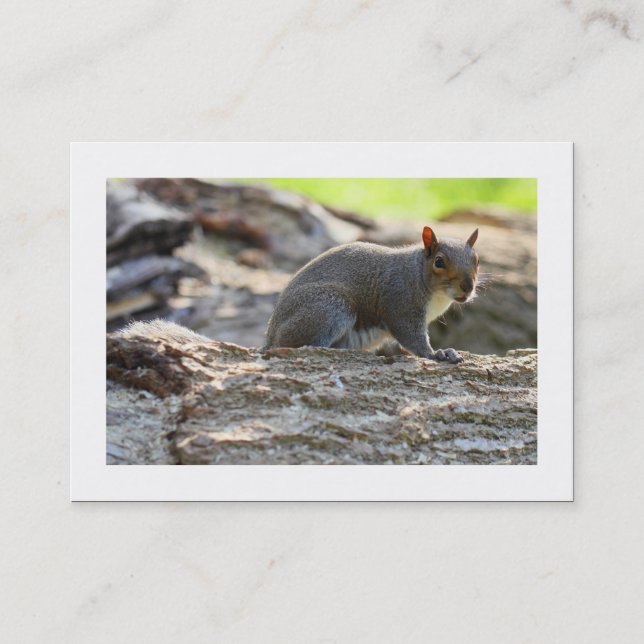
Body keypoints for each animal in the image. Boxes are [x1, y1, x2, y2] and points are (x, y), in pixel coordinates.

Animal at [264, 226, 480, 363]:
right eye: (439, 262)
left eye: (477, 260)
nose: (467, 286)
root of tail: (270, 335)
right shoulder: (400, 303)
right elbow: (412, 338)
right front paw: (437, 354)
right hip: (331, 307)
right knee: (290, 344)